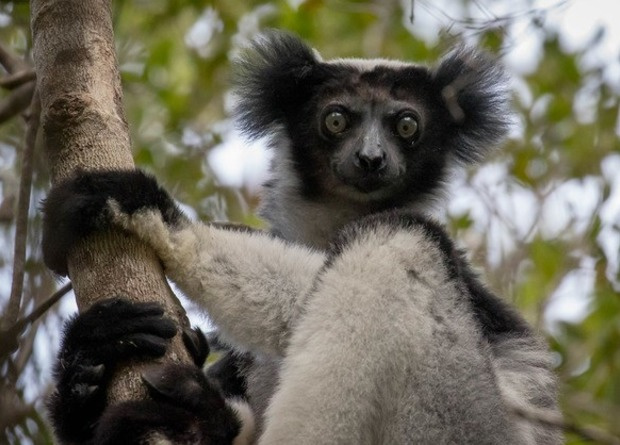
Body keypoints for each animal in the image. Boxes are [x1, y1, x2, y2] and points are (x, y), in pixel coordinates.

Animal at [42, 31, 561, 444]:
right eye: (336, 119)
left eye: (407, 125)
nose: (372, 159)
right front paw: (93, 355)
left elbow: (306, 294)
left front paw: (151, 211)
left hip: (462, 419)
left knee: (398, 242)